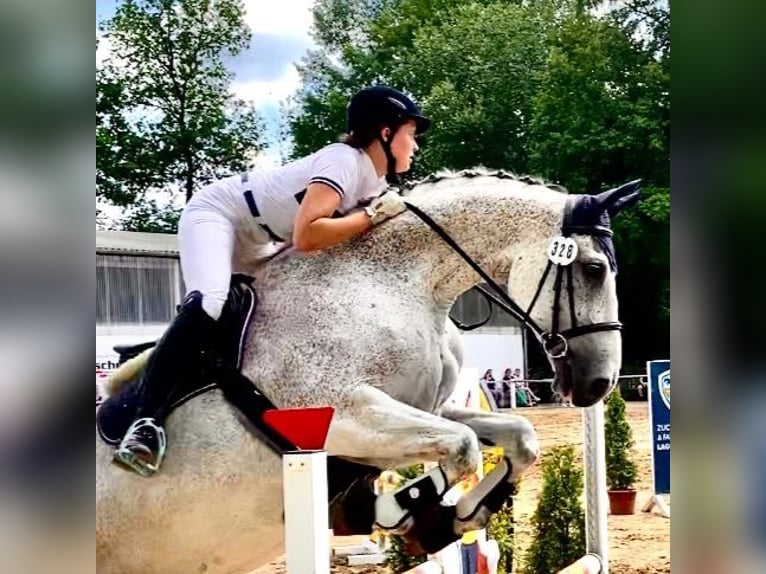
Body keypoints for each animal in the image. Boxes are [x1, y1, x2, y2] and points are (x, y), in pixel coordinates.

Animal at [96, 169, 640, 572]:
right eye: (594, 269)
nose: (599, 383)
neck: (398, 282)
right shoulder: (340, 416)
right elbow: (461, 448)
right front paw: (403, 512)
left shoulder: (424, 406)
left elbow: (518, 436)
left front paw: (461, 513)